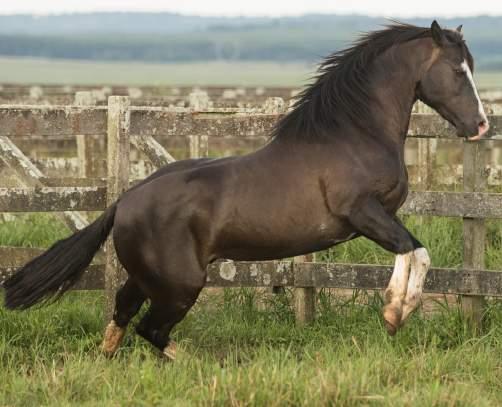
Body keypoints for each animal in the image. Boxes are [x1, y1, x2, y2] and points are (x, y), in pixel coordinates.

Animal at [4, 21, 490, 360]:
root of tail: (123, 202)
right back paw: (196, 364)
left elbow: (410, 249)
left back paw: (107, 360)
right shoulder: (361, 213)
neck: (354, 136)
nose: (481, 125)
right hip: (180, 283)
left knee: (123, 312)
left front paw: (393, 311)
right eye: (457, 70)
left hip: (148, 277)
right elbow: (416, 251)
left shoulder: (381, 215)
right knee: (151, 329)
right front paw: (394, 314)